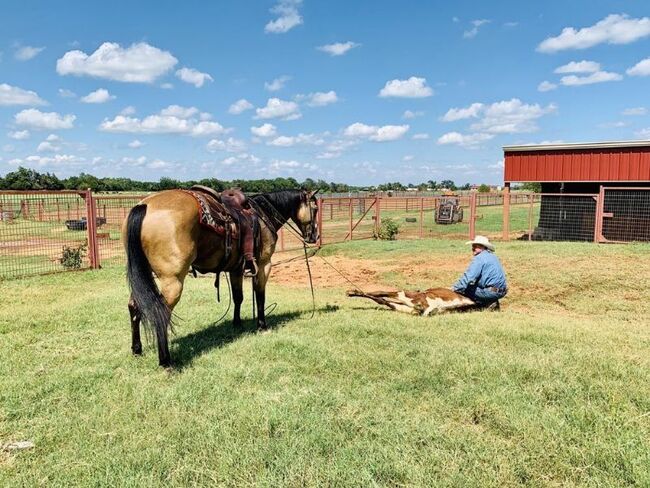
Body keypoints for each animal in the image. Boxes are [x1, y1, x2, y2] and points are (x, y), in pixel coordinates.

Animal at [122, 187, 318, 366]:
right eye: (315, 208)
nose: (314, 236)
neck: (263, 215)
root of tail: (144, 206)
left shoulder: (236, 269)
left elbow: (238, 297)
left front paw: (237, 324)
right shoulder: (264, 265)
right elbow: (260, 296)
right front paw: (262, 326)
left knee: (134, 306)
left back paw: (137, 349)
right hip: (173, 281)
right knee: (160, 312)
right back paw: (166, 362)